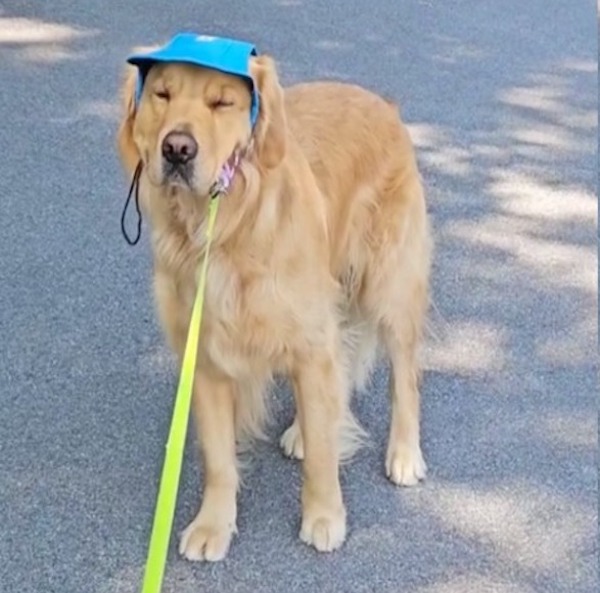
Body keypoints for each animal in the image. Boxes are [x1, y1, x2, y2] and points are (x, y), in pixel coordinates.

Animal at [115, 47, 432, 560]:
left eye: (222, 102)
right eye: (161, 94)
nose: (177, 149)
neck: (224, 228)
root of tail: (383, 103)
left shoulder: (312, 339)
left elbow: (323, 456)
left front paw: (324, 517)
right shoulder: (205, 357)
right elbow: (219, 458)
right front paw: (213, 524)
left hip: (389, 286)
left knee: (403, 379)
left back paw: (404, 453)